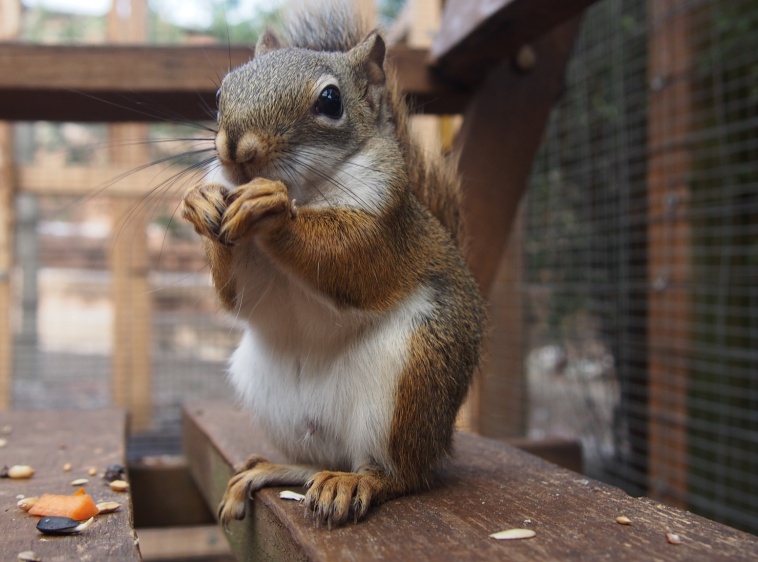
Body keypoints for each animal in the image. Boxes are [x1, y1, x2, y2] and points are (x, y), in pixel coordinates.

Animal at [180, 1, 486, 524]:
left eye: (330, 101)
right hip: (269, 395)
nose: (236, 149)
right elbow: (238, 295)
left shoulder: (385, 226)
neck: (306, 191)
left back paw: (358, 481)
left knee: (402, 474)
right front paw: (202, 202)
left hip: (415, 374)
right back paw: (275, 470)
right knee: (316, 461)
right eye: (222, 91)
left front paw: (271, 209)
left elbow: (348, 259)